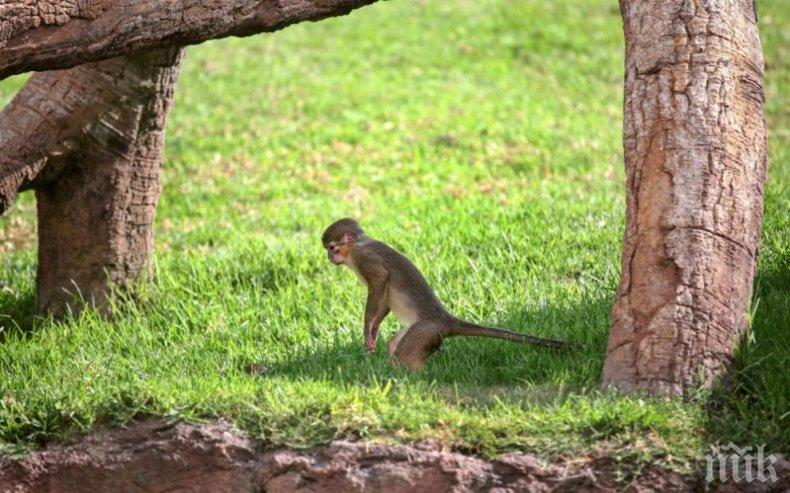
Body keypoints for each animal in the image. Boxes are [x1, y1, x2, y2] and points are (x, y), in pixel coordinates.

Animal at [322, 217, 568, 370]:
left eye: (331, 248)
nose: (329, 258)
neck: (356, 247)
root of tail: (445, 319)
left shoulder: (365, 259)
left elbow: (381, 280)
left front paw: (367, 329)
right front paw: (373, 331)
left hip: (427, 330)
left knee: (406, 353)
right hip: (425, 331)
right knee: (395, 345)